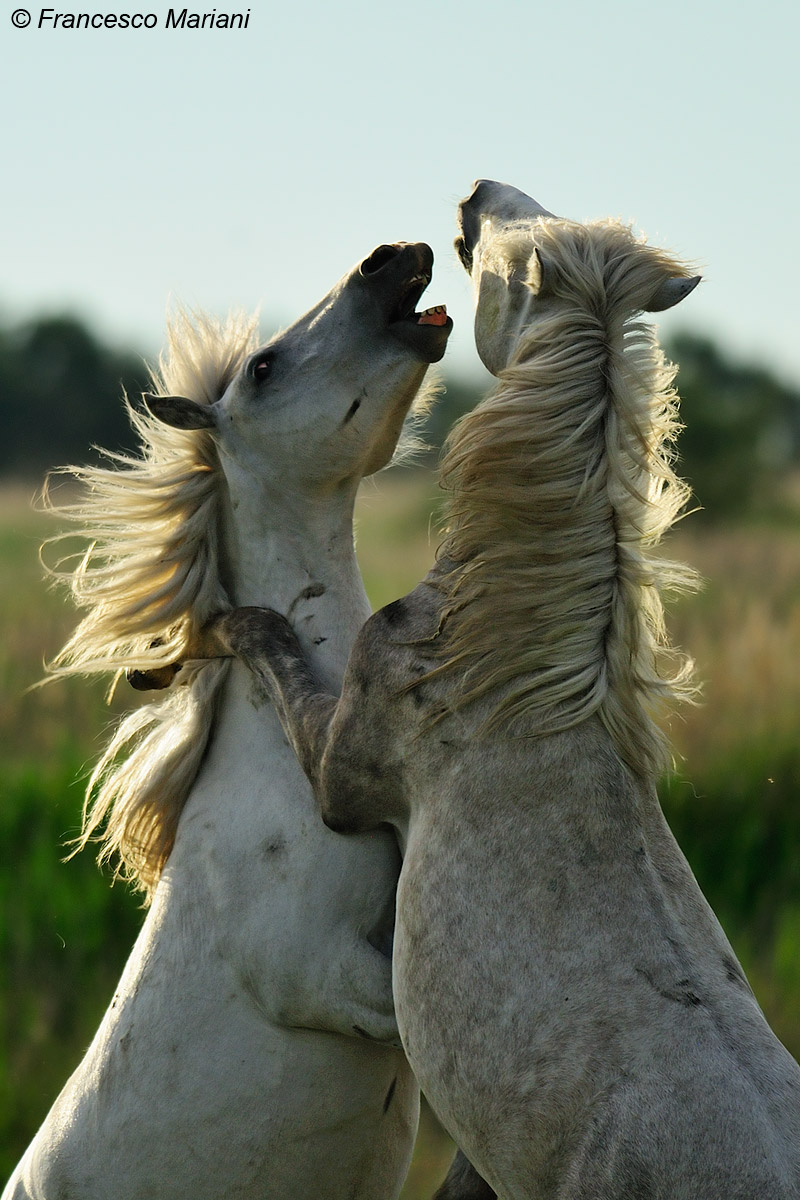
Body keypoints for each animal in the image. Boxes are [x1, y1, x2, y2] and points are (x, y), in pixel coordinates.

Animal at [198, 182, 800, 1199]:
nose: (476, 194)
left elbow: (278, 654)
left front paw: (226, 625)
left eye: (510, 242)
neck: (510, 676)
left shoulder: (341, 771)